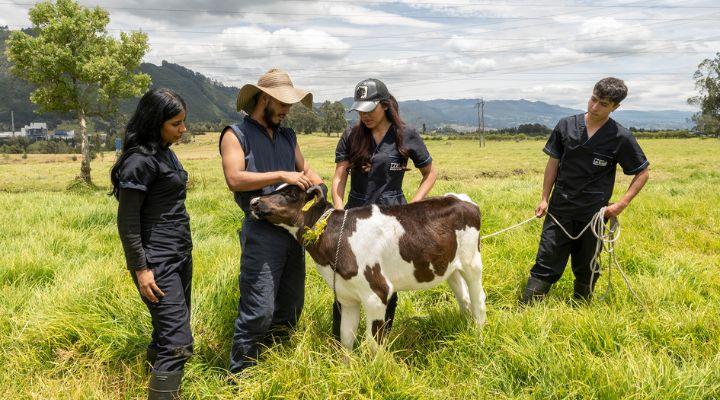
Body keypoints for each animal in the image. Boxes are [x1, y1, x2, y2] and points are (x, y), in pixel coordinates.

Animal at [250, 184, 486, 350]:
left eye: (290, 193)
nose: (254, 201)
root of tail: (458, 198)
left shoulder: (376, 293)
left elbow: (373, 343)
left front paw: (375, 372)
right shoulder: (346, 295)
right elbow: (346, 338)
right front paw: (346, 369)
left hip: (472, 262)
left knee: (478, 298)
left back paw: (478, 334)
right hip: (450, 268)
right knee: (463, 298)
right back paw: (465, 327)